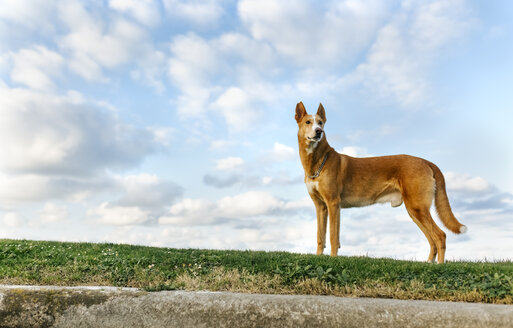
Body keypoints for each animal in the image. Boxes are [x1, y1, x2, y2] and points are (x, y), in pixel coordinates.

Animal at [294, 101, 466, 262]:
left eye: (320, 122)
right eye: (308, 122)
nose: (319, 132)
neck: (317, 163)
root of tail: (426, 161)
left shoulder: (333, 203)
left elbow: (333, 236)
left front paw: (333, 258)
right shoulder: (320, 206)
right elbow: (320, 236)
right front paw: (319, 256)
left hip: (417, 207)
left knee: (440, 235)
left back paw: (440, 265)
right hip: (415, 211)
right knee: (432, 239)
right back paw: (429, 262)